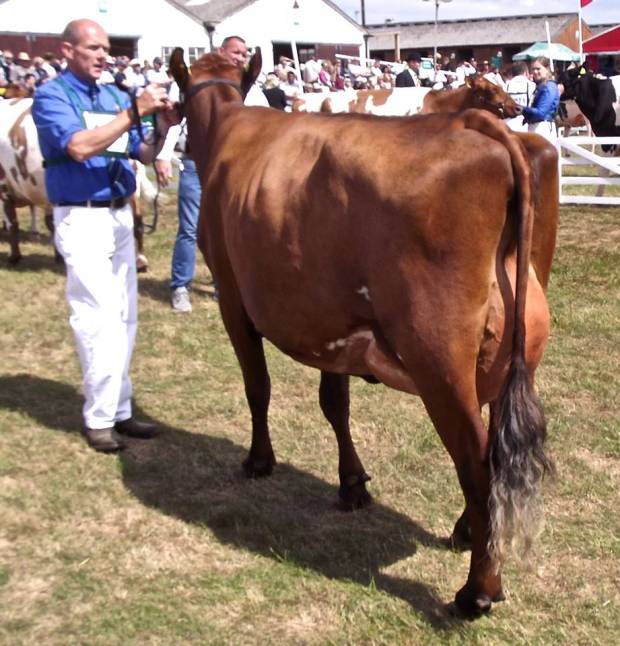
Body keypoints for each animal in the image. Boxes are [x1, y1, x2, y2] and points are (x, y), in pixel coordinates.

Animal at [170, 49, 556, 616]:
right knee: (492, 444)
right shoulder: (331, 324)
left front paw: (259, 460)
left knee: (477, 462)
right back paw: (467, 532)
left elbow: (257, 387)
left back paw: (477, 590)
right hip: (511, 350)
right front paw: (351, 483)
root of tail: (474, 123)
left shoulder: (231, 296)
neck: (227, 126)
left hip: (438, 358)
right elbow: (336, 403)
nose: (175, 145)